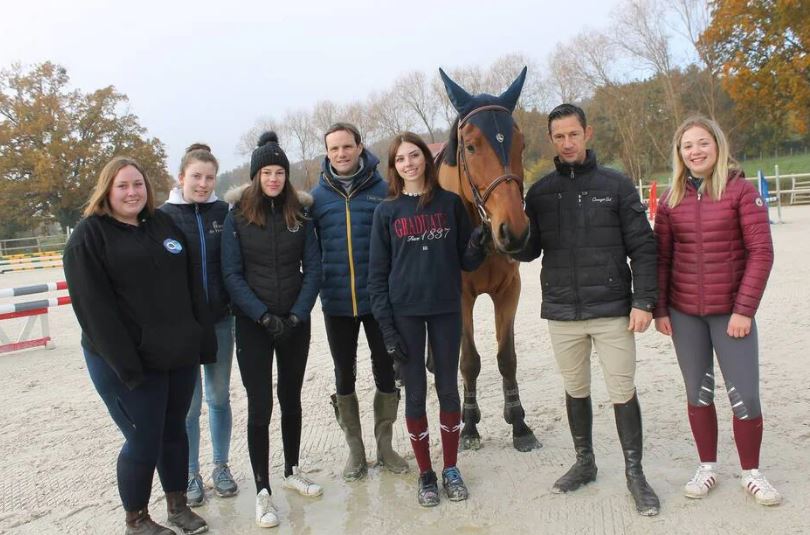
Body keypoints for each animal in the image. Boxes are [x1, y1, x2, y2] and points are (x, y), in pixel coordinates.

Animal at [432, 67, 540, 452]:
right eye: (471, 146)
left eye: (521, 144)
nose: (516, 231)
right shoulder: (459, 298)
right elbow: (469, 362)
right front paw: (468, 425)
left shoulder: (509, 290)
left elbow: (506, 358)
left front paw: (519, 424)